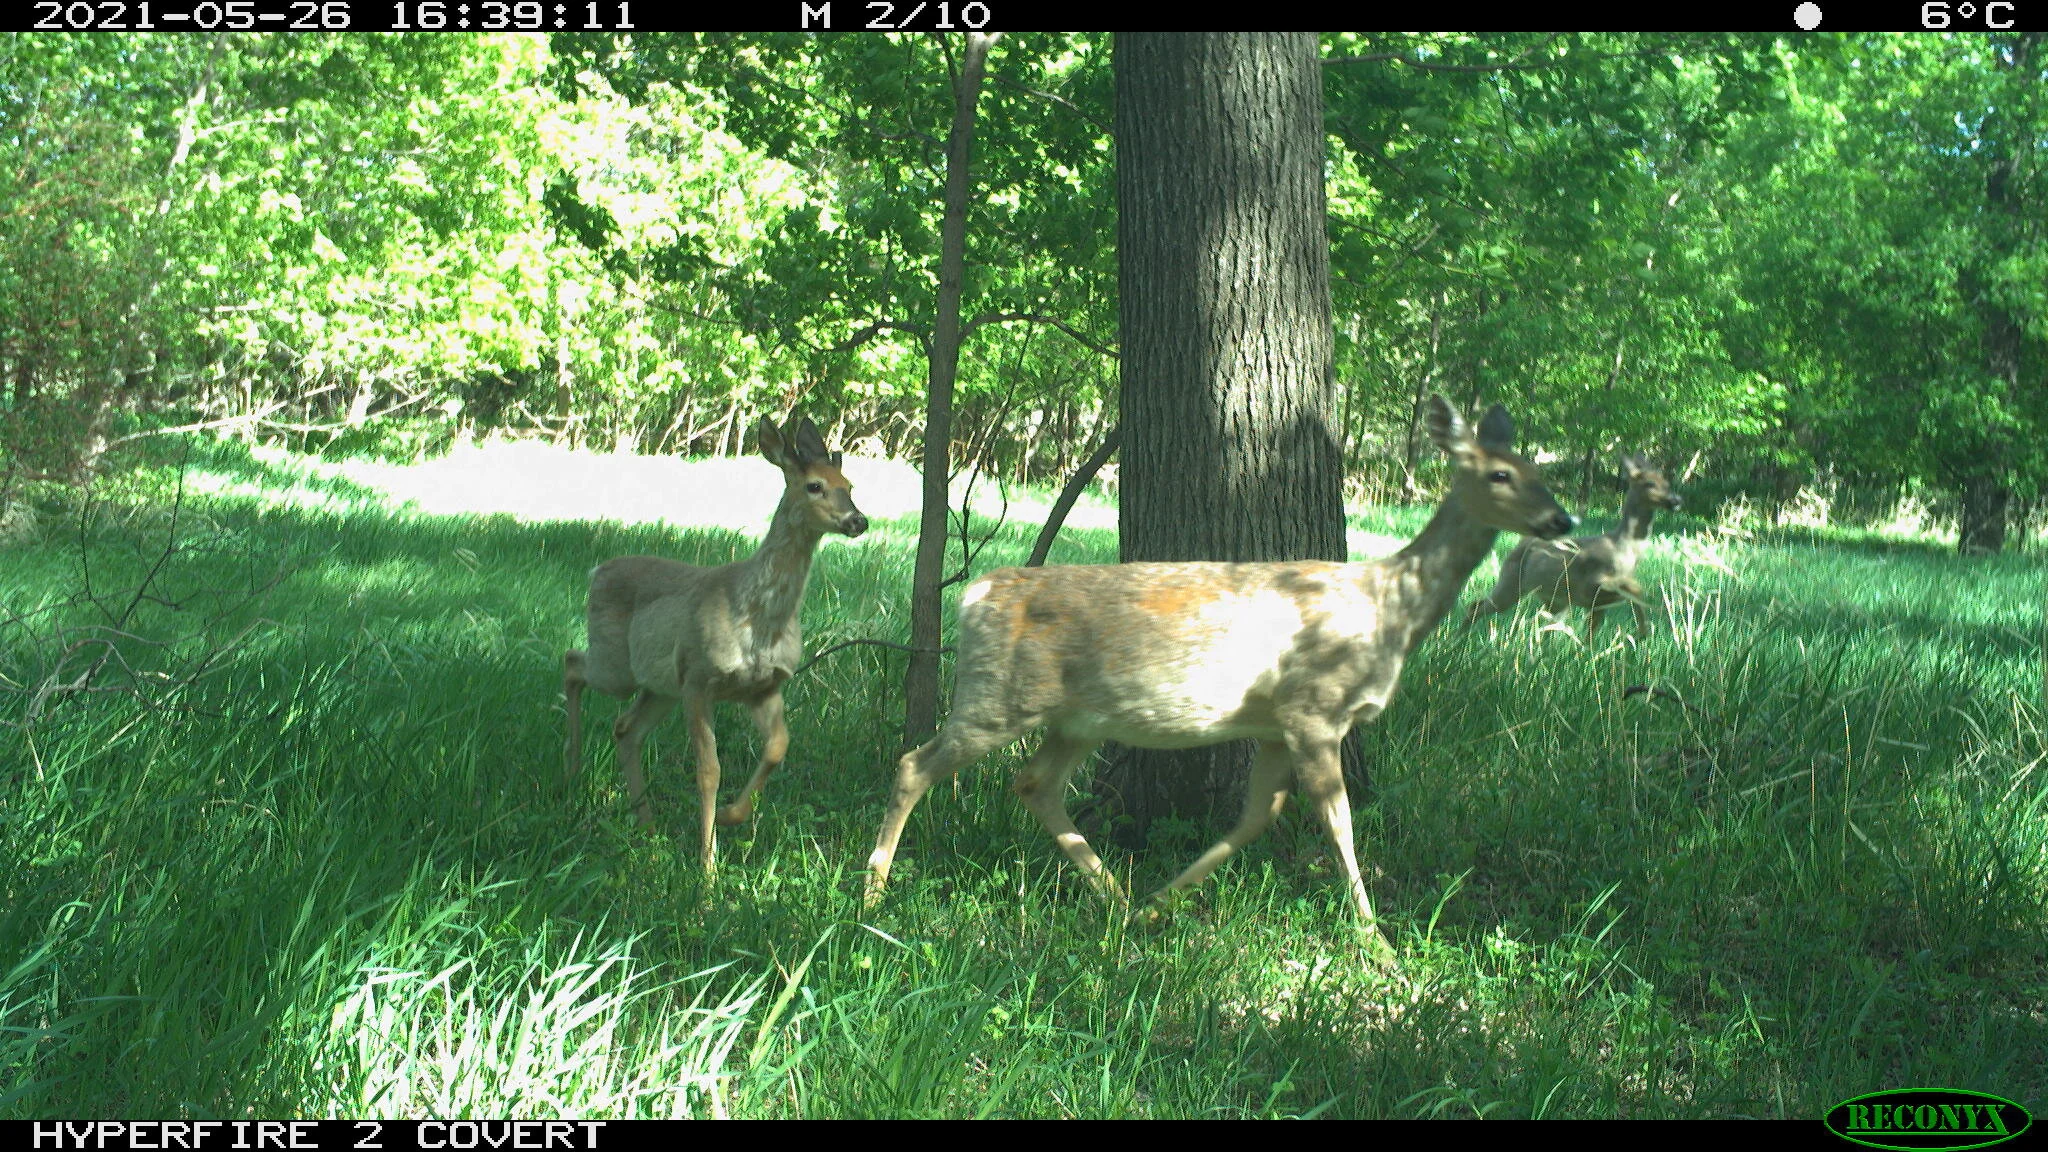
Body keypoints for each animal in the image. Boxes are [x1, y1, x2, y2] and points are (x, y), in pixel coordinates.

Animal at [562, 416, 868, 874]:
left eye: (849, 484)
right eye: (815, 486)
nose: (858, 521)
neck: (759, 617)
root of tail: (597, 570)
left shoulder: (765, 687)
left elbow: (778, 747)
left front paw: (730, 815)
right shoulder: (699, 678)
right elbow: (709, 770)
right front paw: (707, 869)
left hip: (659, 686)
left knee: (625, 728)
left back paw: (646, 826)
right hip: (618, 664)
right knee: (571, 662)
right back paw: (574, 767)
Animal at [862, 396, 1573, 960]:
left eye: (1544, 473)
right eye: (1501, 473)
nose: (1563, 522)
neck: (1388, 607)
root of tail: (973, 595)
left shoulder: (1276, 726)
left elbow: (1257, 817)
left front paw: (1162, 902)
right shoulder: (1313, 708)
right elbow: (1338, 821)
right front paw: (1380, 947)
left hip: (1075, 717)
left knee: (1034, 783)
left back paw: (1120, 902)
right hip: (998, 695)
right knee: (914, 764)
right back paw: (872, 894)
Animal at [1464, 453, 1681, 643]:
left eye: (1667, 483)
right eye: (1650, 483)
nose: (1676, 501)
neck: (1625, 548)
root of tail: (1523, 541)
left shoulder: (1596, 601)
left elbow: (1592, 632)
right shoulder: (1592, 584)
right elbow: (1637, 589)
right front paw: (1642, 631)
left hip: (1553, 600)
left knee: (1541, 623)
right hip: (1512, 582)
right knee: (1476, 607)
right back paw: (1460, 640)